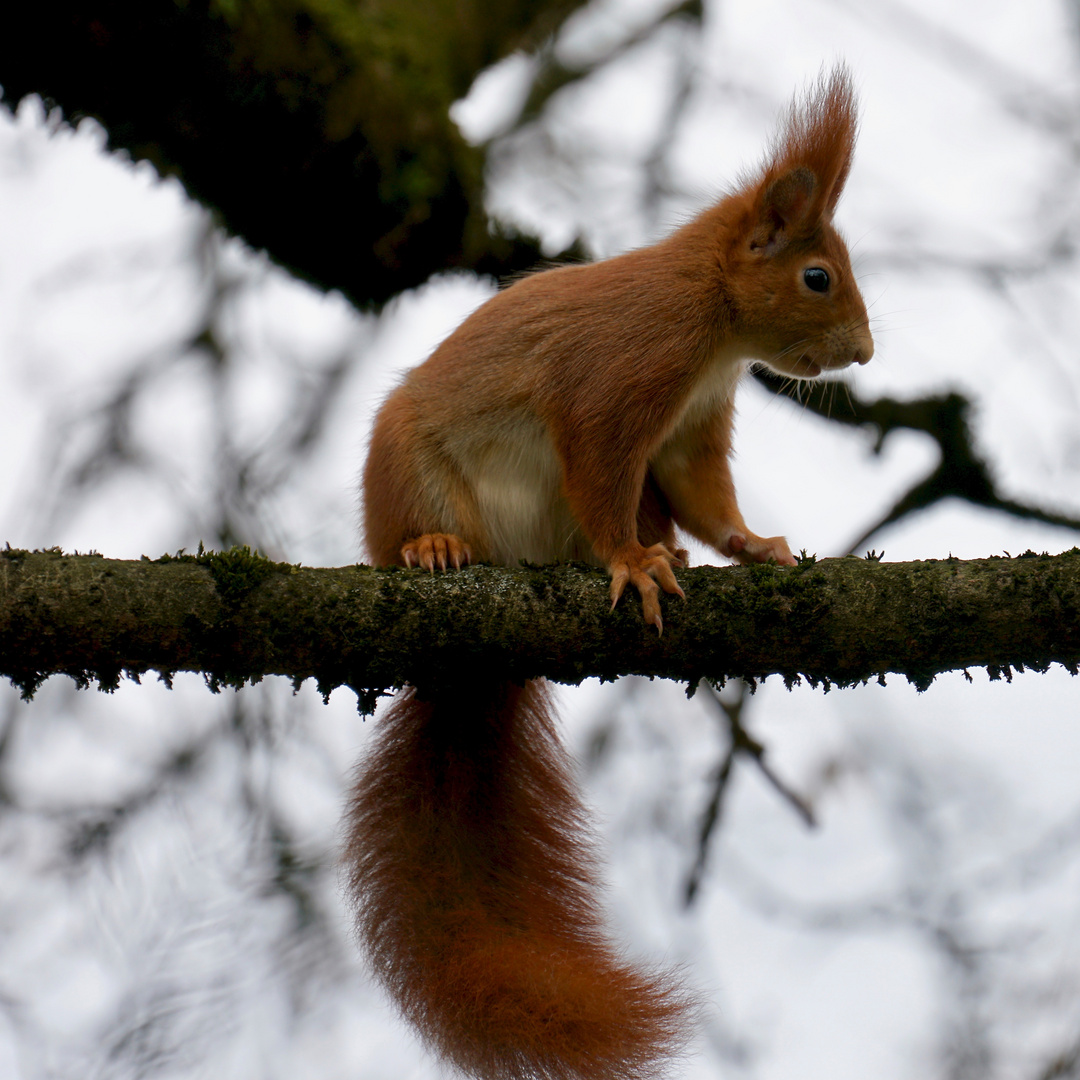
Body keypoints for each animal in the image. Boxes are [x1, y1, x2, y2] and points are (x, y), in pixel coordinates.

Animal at [349, 69, 872, 1080]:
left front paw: (753, 546)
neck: (710, 321)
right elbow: (598, 469)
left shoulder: (690, 428)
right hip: (406, 467)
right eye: (817, 277)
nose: (867, 353)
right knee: (419, 527)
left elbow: (705, 495)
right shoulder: (619, 382)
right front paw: (629, 563)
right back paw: (435, 550)